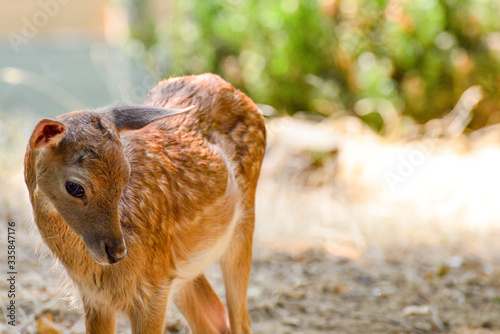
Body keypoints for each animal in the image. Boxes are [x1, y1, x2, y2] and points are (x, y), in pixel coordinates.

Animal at [24, 74, 266, 332]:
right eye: (74, 187)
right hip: (182, 270)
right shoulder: (97, 299)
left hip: (243, 225)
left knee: (240, 321)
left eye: (126, 175)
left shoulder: (153, 291)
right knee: (215, 318)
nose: (117, 252)